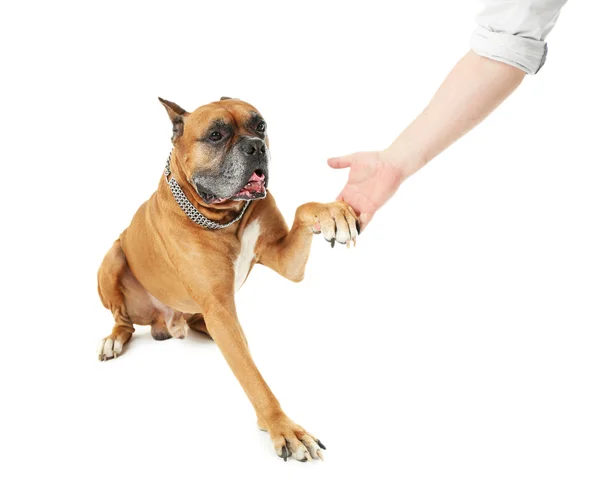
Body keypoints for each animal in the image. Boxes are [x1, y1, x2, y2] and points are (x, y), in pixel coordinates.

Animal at [96, 96, 358, 462]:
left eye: (260, 125)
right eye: (216, 135)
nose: (256, 146)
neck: (226, 217)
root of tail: (164, 322)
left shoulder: (285, 260)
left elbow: (304, 208)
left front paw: (334, 212)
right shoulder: (218, 305)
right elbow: (252, 377)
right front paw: (283, 428)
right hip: (113, 257)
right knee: (124, 321)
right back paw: (114, 340)